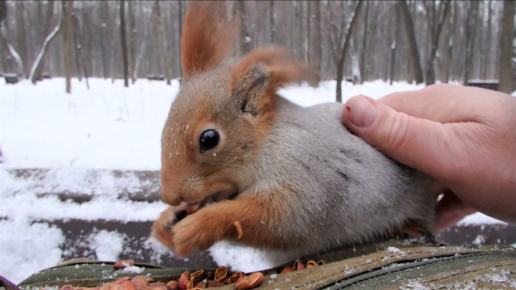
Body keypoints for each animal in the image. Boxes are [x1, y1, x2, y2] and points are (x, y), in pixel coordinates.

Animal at [151, 1, 438, 260]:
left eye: (209, 138)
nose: (170, 196)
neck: (267, 143)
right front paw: (165, 222)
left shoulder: (305, 172)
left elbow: (281, 220)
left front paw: (196, 227)